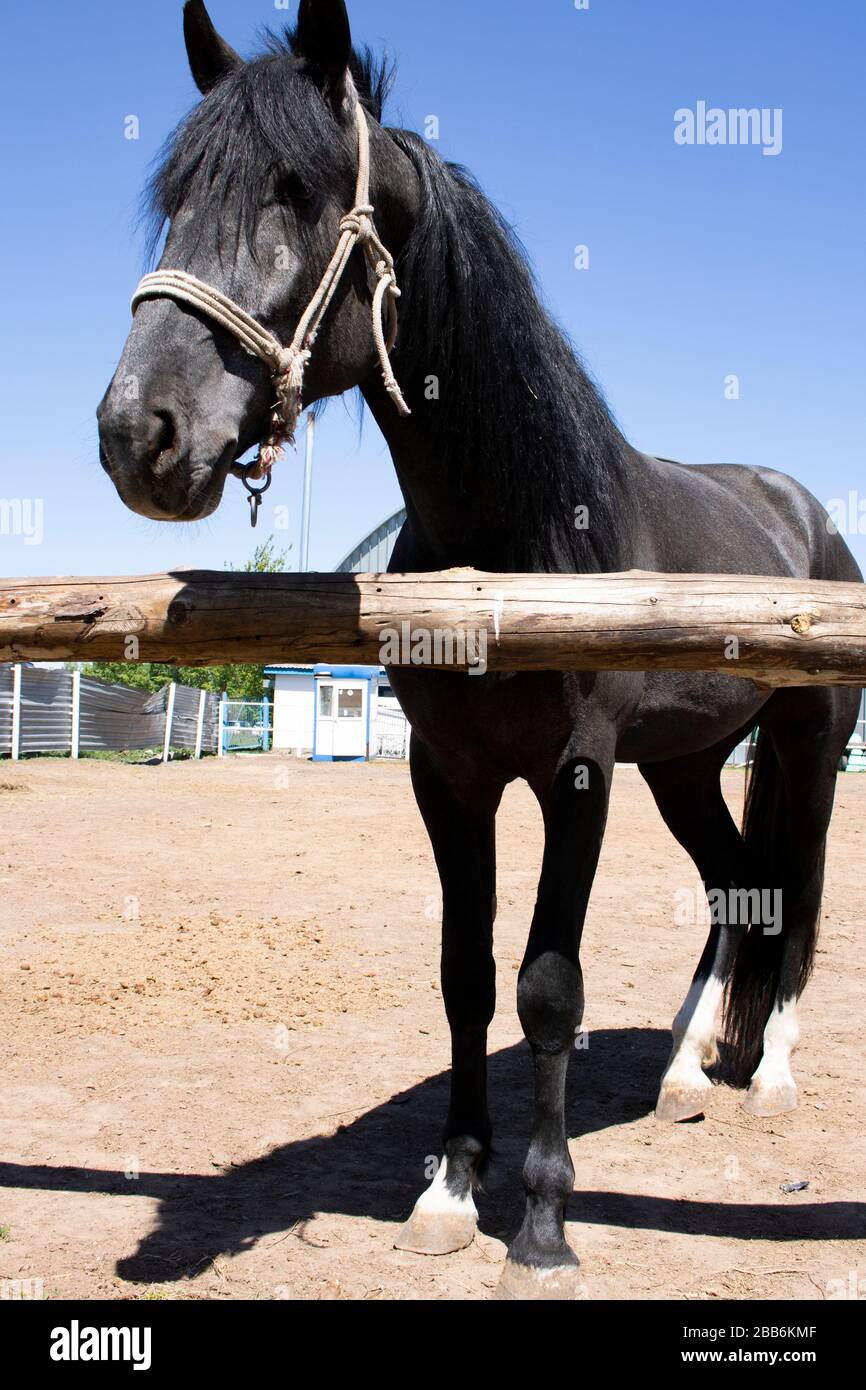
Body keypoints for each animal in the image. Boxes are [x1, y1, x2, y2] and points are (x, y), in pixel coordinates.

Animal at [97, 0, 862, 1299]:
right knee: (729, 886)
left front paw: (542, 1219)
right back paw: (678, 1071)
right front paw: (450, 1190)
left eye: (296, 191)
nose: (134, 433)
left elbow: (545, 986)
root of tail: (802, 513)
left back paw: (764, 1071)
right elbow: (463, 972)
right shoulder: (446, 776)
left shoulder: (576, 777)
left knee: (793, 896)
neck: (517, 540)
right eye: (179, 197)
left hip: (803, 750)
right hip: (684, 765)